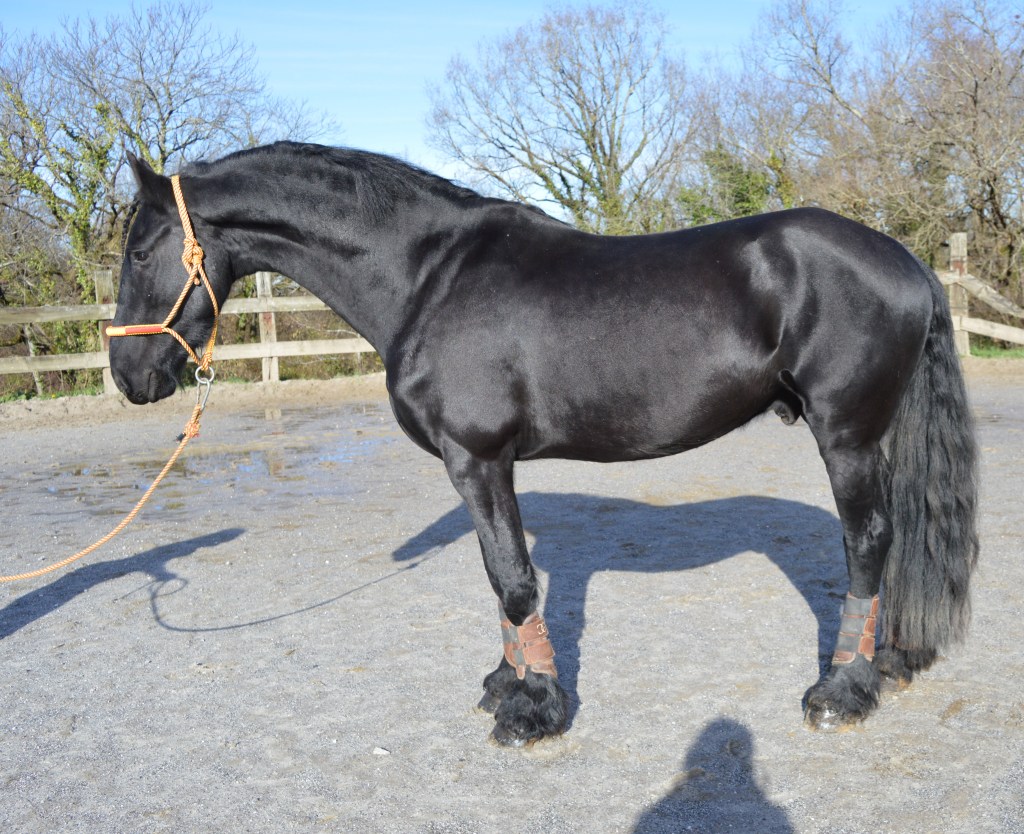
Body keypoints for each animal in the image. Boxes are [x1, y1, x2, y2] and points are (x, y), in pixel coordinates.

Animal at [109, 141, 978, 746]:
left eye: (140, 251)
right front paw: (508, 683)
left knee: (868, 543)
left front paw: (533, 712)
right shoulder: (479, 468)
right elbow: (500, 579)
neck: (429, 276)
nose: (127, 375)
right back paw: (890, 659)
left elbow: (514, 581)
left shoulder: (478, 457)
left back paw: (842, 691)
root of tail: (906, 261)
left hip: (847, 436)